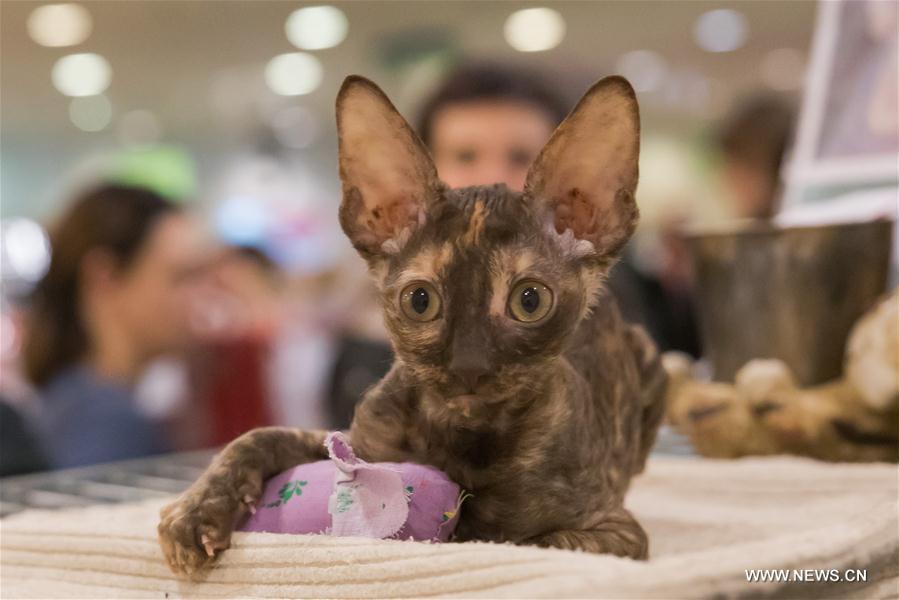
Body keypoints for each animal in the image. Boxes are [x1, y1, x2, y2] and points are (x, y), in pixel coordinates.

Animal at [158, 75, 664, 576]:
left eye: (530, 300)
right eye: (420, 301)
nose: (468, 366)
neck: (459, 437)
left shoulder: (616, 532)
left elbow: (523, 541)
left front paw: (471, 526)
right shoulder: (354, 443)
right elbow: (258, 436)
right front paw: (195, 511)